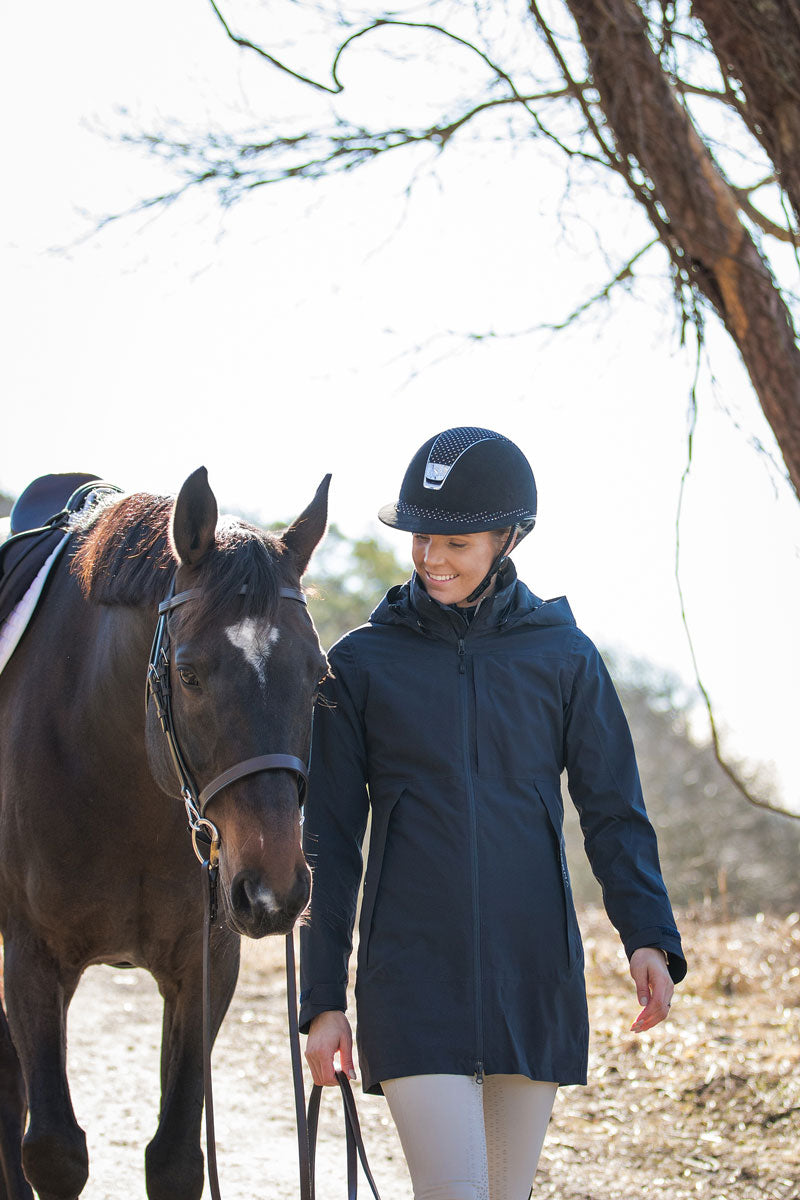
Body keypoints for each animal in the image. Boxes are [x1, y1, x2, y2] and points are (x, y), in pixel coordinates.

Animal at [0, 465, 328, 1200]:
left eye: (318, 673)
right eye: (188, 673)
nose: (274, 891)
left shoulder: (204, 965)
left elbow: (175, 1156)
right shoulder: (32, 958)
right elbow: (54, 1151)